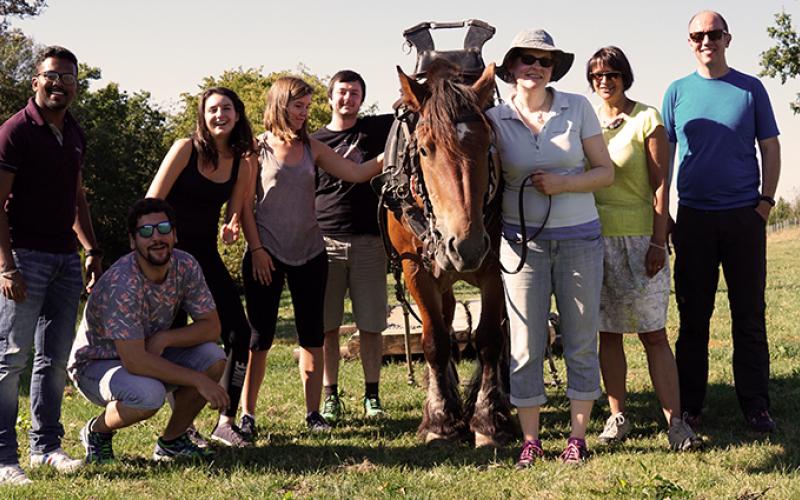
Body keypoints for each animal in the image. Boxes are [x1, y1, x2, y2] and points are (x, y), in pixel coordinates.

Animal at [390, 60, 516, 448]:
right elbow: (435, 341)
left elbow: (490, 338)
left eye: (488, 144)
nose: (466, 245)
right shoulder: (416, 269)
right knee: (444, 321)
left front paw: (488, 419)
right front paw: (440, 420)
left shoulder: (495, 269)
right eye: (424, 149)